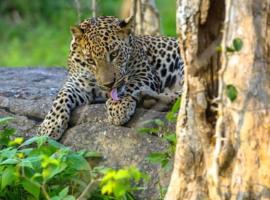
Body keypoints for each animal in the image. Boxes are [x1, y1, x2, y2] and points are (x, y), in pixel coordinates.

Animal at [38, 16, 185, 139]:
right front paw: (49, 126)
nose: (108, 84)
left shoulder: (145, 73)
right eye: (91, 60)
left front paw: (117, 107)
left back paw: (149, 97)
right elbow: (61, 97)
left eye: (114, 54)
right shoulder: (77, 83)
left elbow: (129, 86)